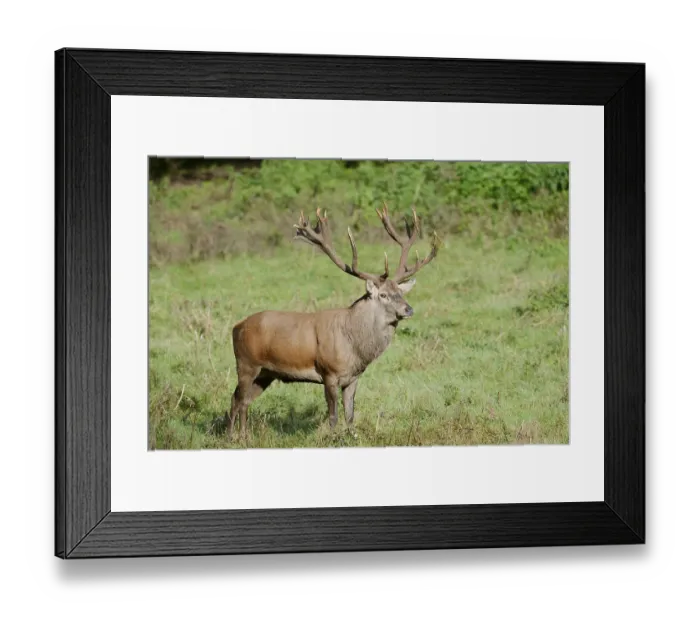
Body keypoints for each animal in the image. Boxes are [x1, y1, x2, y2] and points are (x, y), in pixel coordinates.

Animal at [227, 203, 441, 440]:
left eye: (401, 292)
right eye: (384, 295)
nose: (408, 309)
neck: (355, 347)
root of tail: (236, 328)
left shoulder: (354, 377)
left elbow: (350, 415)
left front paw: (352, 437)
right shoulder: (328, 372)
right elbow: (333, 415)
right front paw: (330, 438)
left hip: (266, 373)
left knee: (243, 400)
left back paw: (243, 435)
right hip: (246, 363)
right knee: (237, 399)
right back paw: (232, 437)